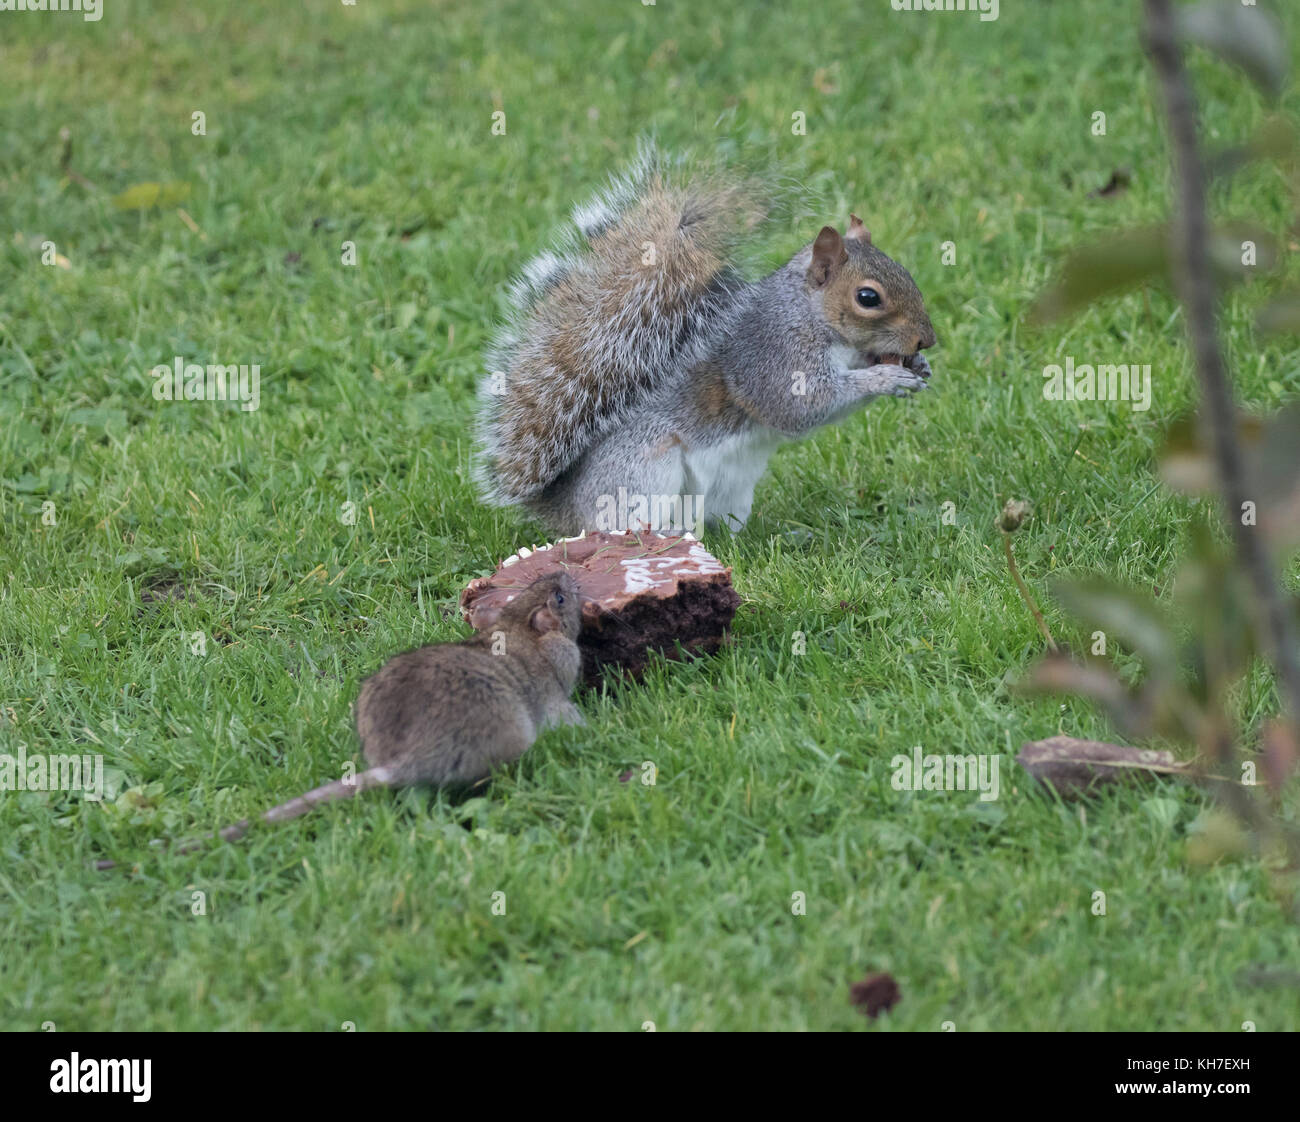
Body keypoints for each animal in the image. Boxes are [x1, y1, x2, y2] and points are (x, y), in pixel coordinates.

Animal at [475, 145, 935, 535]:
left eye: (906, 272)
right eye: (868, 297)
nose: (926, 340)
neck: (809, 315)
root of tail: (567, 510)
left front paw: (915, 367)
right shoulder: (772, 354)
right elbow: (800, 408)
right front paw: (885, 380)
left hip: (731, 489)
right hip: (645, 471)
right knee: (620, 528)